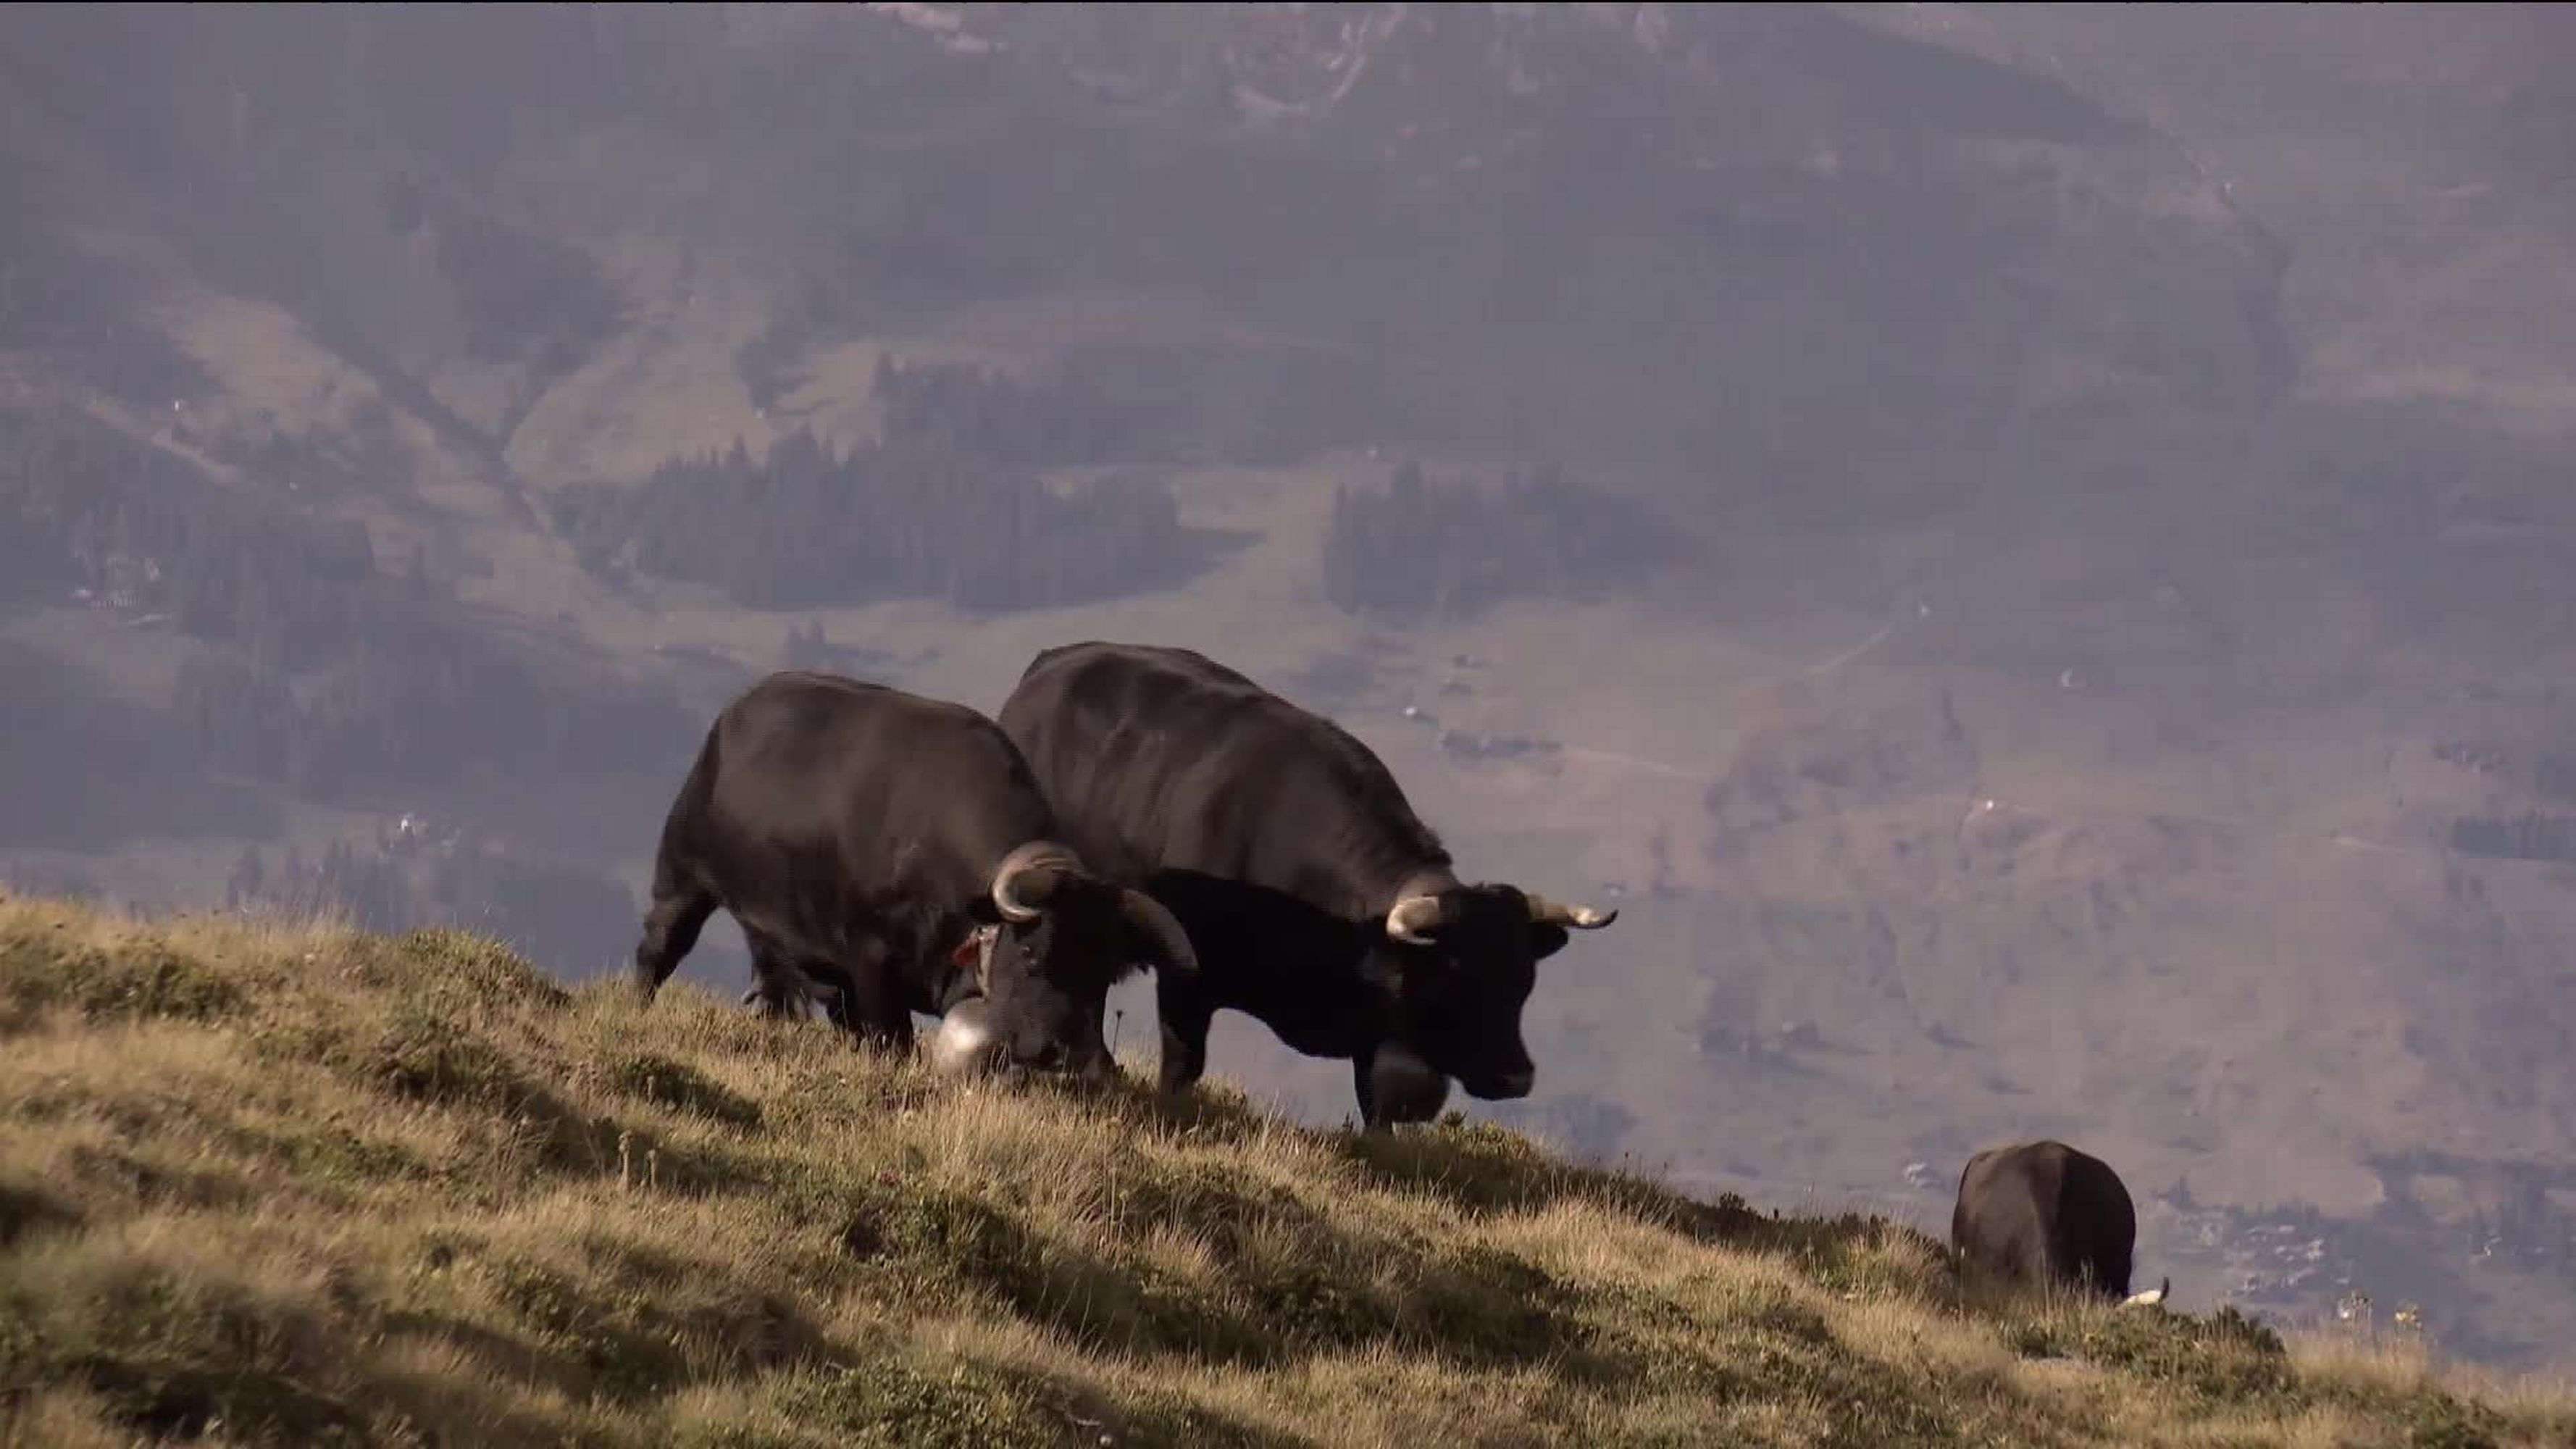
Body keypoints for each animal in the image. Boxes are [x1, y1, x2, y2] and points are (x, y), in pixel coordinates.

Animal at [628, 665, 1200, 1072]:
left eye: (1104, 972)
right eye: (1032, 952)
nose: (1076, 1056)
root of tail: (730, 720)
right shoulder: (870, 959)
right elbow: (892, 1038)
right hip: (682, 879)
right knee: (658, 950)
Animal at [994, 642, 1618, 1129]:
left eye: (1524, 981)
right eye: (1457, 979)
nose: (1517, 1077)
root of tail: (1051, 664)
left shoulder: (1375, 1028)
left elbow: (1377, 1109)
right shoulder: (1187, 979)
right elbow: (1182, 1066)